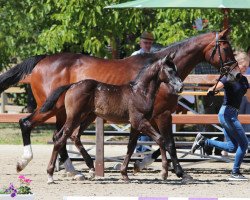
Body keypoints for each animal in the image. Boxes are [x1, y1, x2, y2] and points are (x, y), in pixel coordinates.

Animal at [40, 54, 183, 183]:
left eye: (176, 68)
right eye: (170, 70)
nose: (180, 87)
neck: (140, 92)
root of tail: (72, 85)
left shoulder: (135, 125)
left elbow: (131, 146)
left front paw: (124, 174)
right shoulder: (140, 121)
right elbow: (161, 139)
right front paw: (164, 173)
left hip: (85, 117)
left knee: (66, 136)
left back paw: (89, 168)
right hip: (75, 117)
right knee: (61, 139)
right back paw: (50, 175)